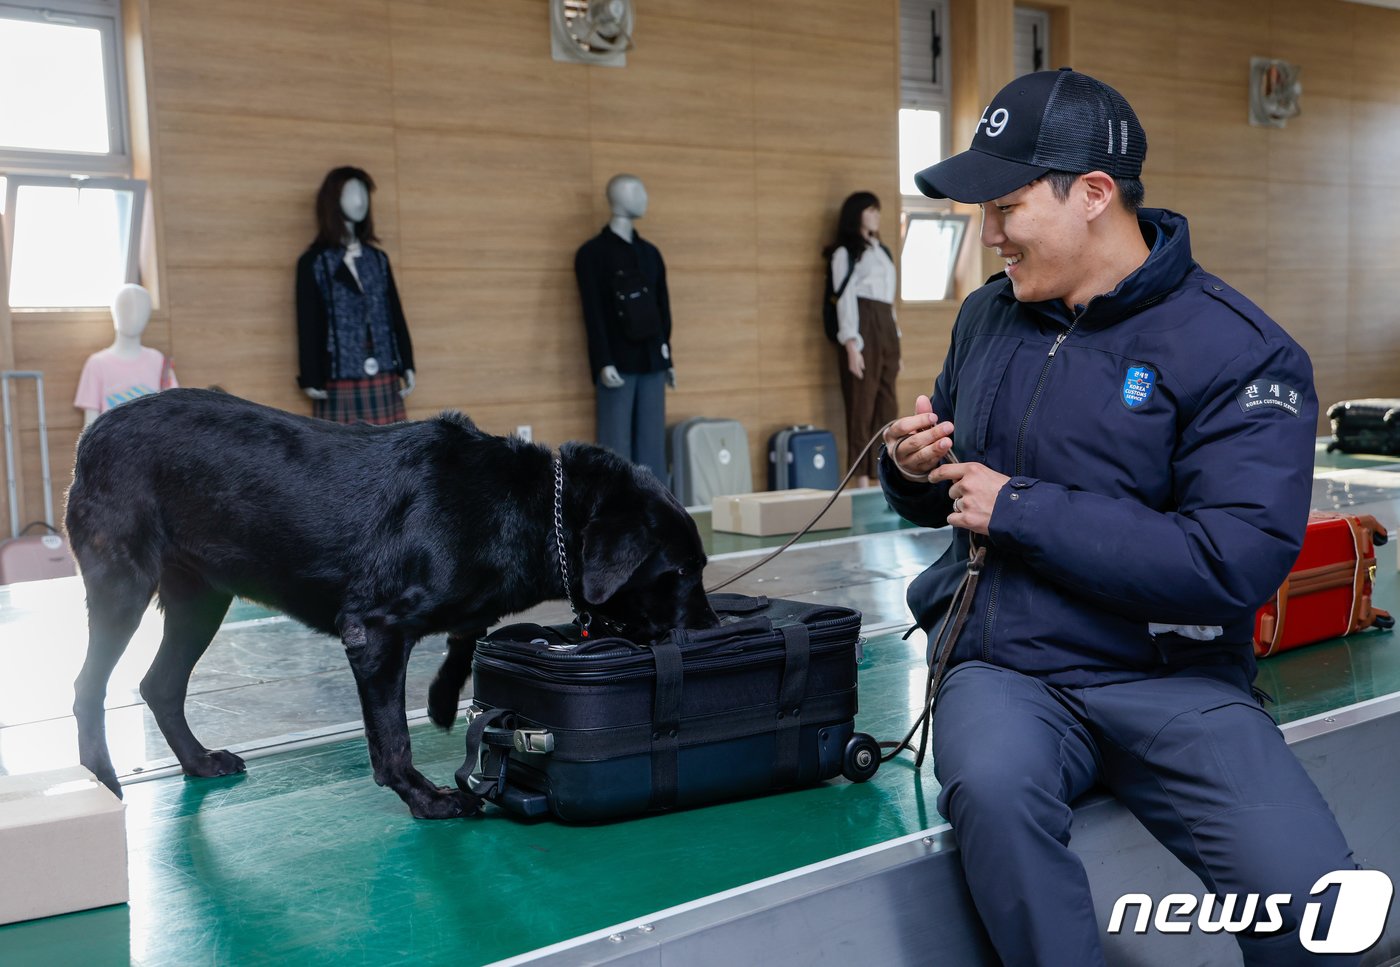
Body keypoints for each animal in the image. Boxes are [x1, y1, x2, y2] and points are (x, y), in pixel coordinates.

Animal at [69, 386, 716, 817]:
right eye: (683, 570)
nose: (711, 629)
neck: (529, 508)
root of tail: (92, 435)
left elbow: (466, 638)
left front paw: (442, 702)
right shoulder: (373, 632)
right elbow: (391, 738)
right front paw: (425, 797)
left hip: (202, 598)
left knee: (159, 685)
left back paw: (199, 762)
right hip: (123, 586)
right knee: (88, 688)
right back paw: (104, 782)